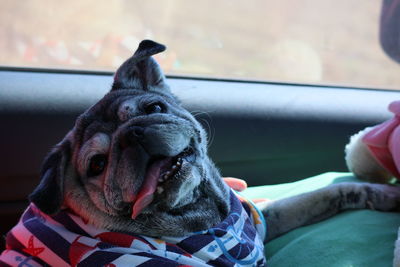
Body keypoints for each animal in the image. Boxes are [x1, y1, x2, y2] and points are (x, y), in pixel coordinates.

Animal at [0, 40, 400, 267]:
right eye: (97, 164)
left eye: (154, 108)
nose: (133, 136)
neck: (210, 218)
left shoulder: (262, 219)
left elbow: (328, 194)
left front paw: (384, 195)